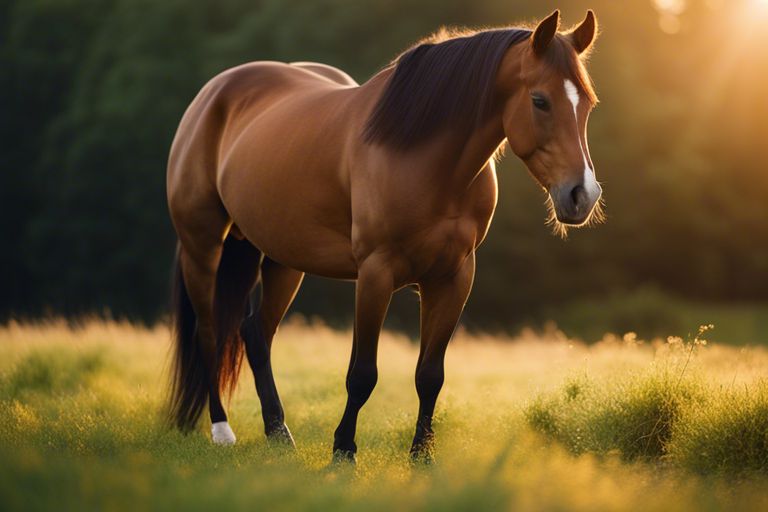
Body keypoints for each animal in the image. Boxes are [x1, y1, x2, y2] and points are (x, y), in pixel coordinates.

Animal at [166, 10, 600, 462]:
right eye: (540, 101)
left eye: (587, 104)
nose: (582, 195)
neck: (424, 156)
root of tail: (214, 92)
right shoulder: (376, 273)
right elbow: (362, 374)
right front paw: (343, 450)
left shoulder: (454, 277)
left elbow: (430, 375)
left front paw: (421, 456)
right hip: (203, 246)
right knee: (209, 332)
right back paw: (222, 429)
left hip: (281, 257)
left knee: (255, 333)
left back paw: (278, 432)